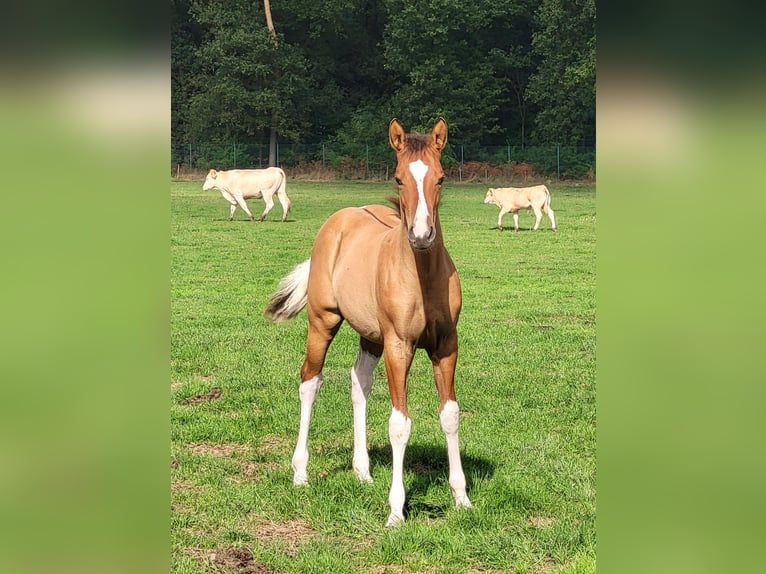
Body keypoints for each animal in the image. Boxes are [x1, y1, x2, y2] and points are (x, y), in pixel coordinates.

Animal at [264, 118, 472, 526]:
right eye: (398, 178)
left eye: (440, 178)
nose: (421, 235)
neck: (422, 277)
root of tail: (344, 216)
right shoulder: (399, 345)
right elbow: (399, 424)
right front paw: (396, 512)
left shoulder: (445, 346)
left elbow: (451, 415)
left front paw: (461, 498)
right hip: (324, 322)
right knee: (310, 381)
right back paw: (300, 473)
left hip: (371, 336)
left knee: (359, 382)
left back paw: (362, 471)